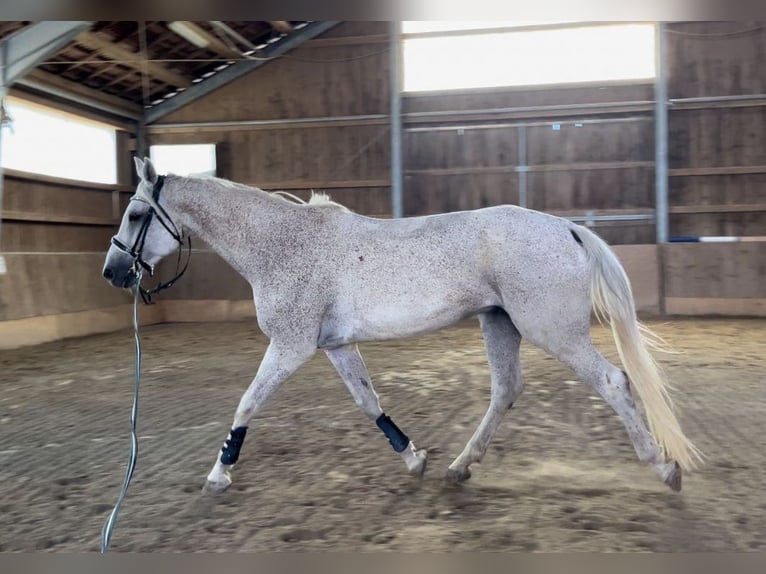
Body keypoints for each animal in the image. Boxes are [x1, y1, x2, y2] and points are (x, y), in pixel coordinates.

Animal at [102, 158, 704, 496]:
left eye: (135, 215)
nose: (112, 273)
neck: (282, 245)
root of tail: (566, 228)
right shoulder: (335, 345)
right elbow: (368, 401)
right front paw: (413, 457)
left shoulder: (291, 345)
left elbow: (247, 402)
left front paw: (219, 474)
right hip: (500, 325)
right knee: (506, 391)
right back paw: (458, 468)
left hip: (552, 330)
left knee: (614, 383)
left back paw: (663, 468)